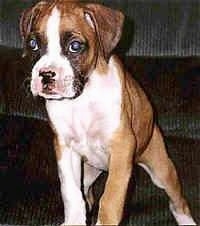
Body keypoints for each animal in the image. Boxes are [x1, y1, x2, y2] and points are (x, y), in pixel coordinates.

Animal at [19, 0, 195, 225]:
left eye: (75, 46)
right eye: (33, 44)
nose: (46, 75)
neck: (81, 98)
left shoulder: (122, 146)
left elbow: (111, 198)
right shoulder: (65, 148)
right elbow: (71, 193)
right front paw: (74, 220)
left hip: (161, 169)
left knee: (178, 201)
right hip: (87, 172)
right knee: (86, 193)